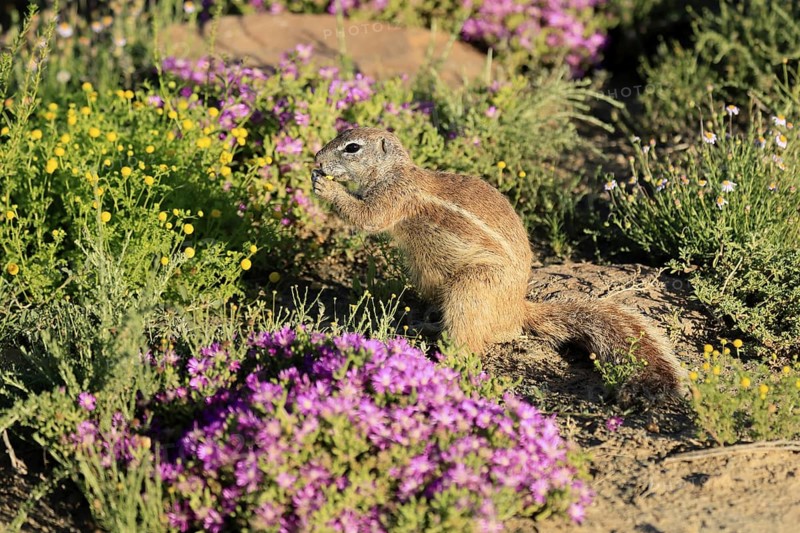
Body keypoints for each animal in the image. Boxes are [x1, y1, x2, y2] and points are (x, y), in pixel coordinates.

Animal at [312, 127, 686, 404]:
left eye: (352, 148)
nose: (316, 159)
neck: (394, 172)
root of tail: (517, 307)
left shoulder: (394, 197)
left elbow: (368, 218)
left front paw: (326, 188)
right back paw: (427, 324)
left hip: (472, 286)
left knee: (475, 340)